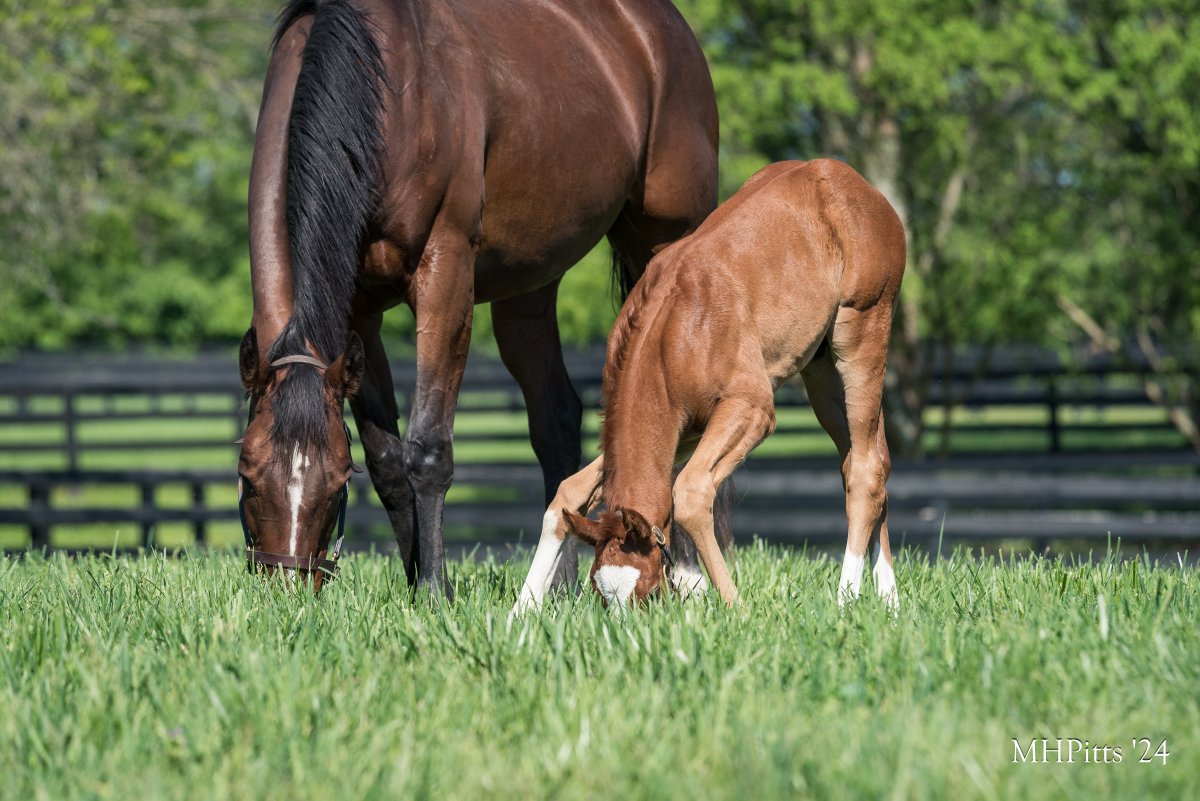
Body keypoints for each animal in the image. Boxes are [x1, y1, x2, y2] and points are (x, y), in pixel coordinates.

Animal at [513, 159, 902, 609]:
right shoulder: (686, 427)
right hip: (821, 372)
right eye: (600, 592)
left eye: (648, 590)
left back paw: (846, 599)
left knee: (865, 468)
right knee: (869, 457)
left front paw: (736, 608)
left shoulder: (750, 409)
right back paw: (889, 599)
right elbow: (569, 490)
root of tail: (859, 185)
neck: (672, 334)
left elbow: (691, 493)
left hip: (863, 333)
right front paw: (519, 612)